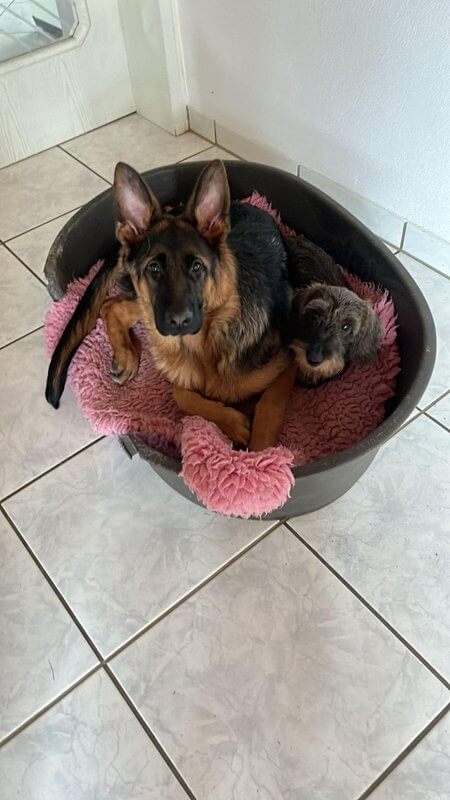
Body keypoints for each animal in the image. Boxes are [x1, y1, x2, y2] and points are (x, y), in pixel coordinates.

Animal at [46, 160, 292, 447]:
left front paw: (260, 453)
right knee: (111, 306)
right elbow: (181, 394)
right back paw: (126, 355)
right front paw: (233, 423)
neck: (201, 348)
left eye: (197, 267)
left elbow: (268, 406)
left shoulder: (287, 363)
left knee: (112, 304)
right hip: (148, 307)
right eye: (154, 268)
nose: (179, 322)